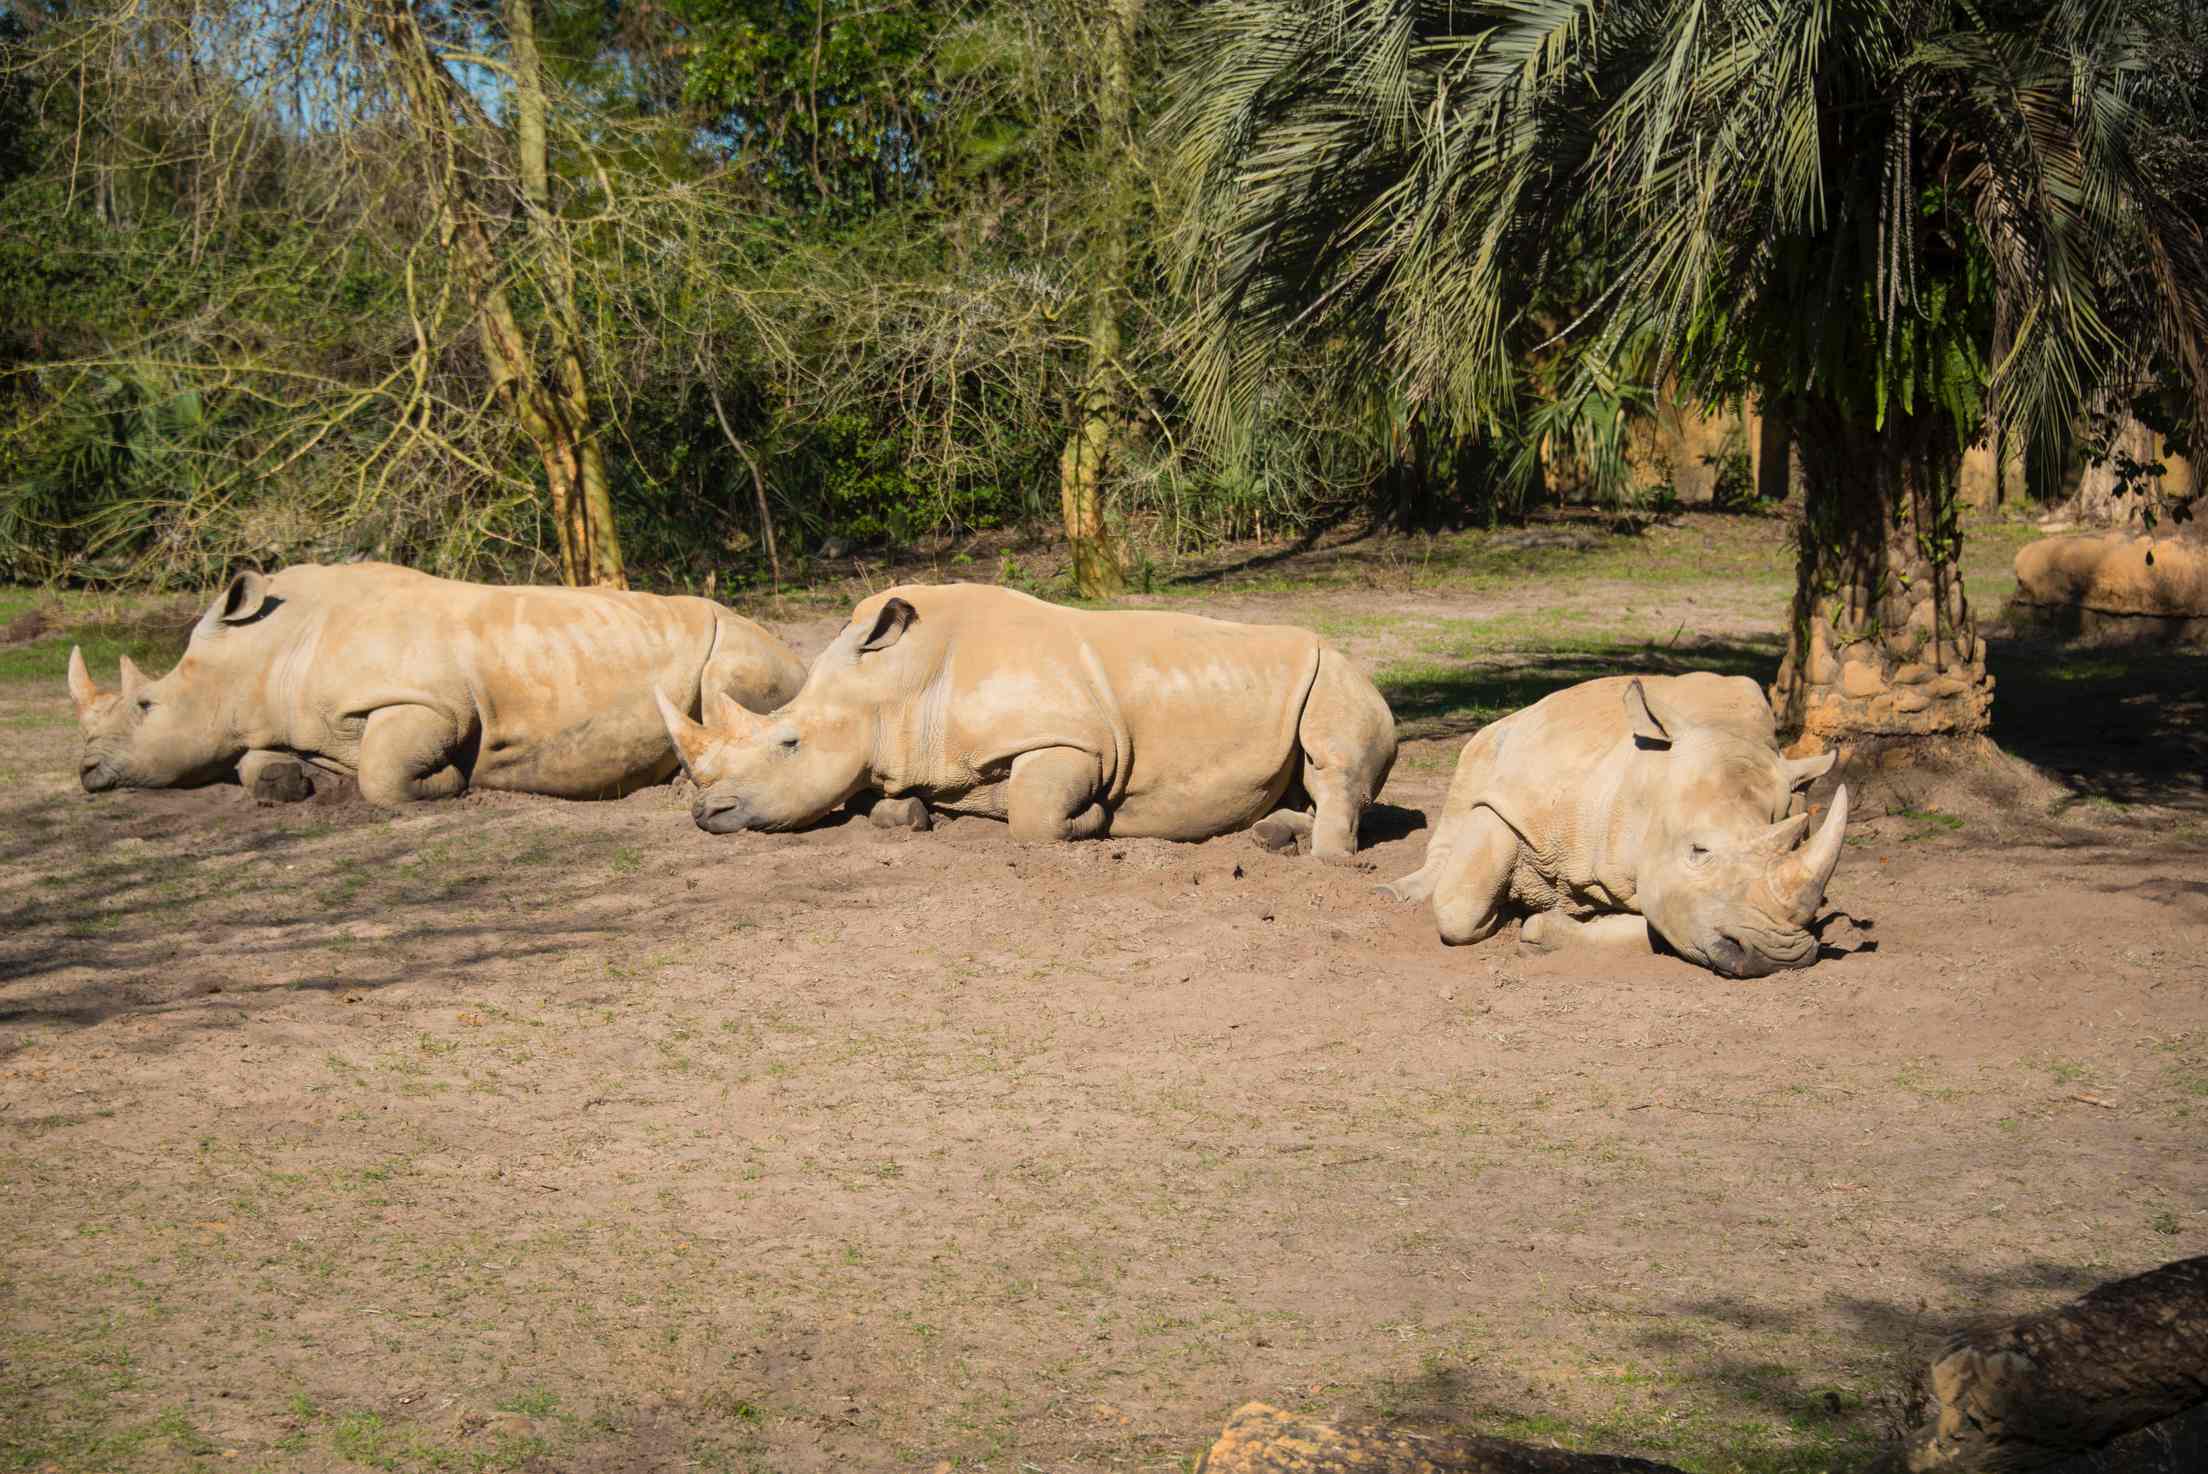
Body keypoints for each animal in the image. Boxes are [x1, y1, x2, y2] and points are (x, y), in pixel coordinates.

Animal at [66, 560, 812, 807]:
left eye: (145, 704)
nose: (85, 771)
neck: (266, 652)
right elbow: (258, 763)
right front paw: (292, 784)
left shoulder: (429, 703)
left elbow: (383, 773)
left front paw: (449, 783)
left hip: (737, 641)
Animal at [644, 582, 1395, 856]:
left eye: (789, 742)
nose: (704, 814)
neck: (898, 686)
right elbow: (887, 804)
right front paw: (915, 816)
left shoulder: (1071, 740)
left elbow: (1034, 817)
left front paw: (1094, 823)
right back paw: (1272, 833)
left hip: (1336, 672)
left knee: (1334, 759)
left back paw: (1319, 855)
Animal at [1395, 675, 1845, 979]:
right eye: (1697, 851)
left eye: (1795, 844)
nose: (1778, 958)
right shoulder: (1514, 802)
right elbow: (1458, 909)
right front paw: (1503, 914)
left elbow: (1660, 919)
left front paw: (1545, 928)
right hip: (1496, 733)